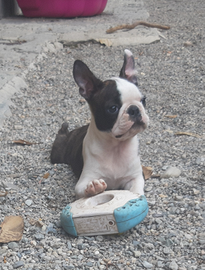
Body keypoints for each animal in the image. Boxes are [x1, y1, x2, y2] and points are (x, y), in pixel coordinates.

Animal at [50, 49, 148, 199]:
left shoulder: (136, 176)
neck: (116, 147)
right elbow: (86, 187)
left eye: (143, 100)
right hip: (57, 155)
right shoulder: (83, 181)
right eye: (113, 108)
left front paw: (136, 195)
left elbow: (136, 187)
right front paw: (94, 187)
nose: (134, 109)